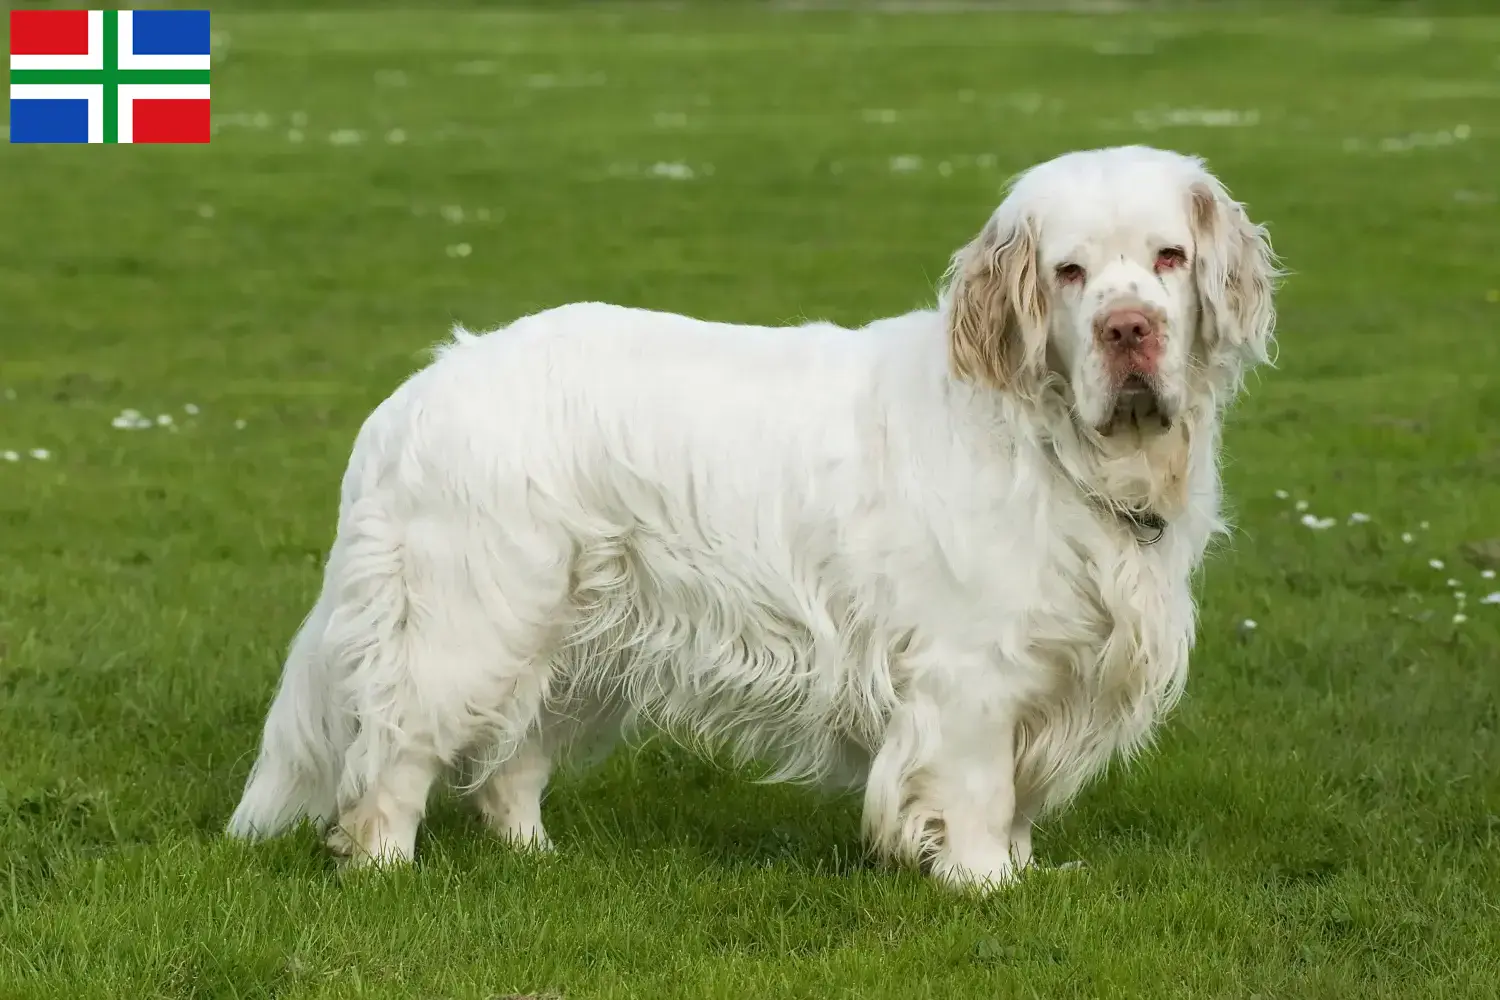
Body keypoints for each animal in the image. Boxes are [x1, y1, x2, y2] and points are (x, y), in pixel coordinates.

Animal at [231, 144, 1278, 887]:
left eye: (1169, 258)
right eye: (1069, 272)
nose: (1129, 330)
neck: (1058, 445)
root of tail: (421, 388)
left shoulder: (1057, 666)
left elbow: (1019, 798)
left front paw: (1026, 871)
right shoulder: (972, 672)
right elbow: (979, 789)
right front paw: (985, 883)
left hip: (577, 640)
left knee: (510, 769)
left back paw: (538, 860)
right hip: (469, 623)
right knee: (395, 755)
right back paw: (383, 868)